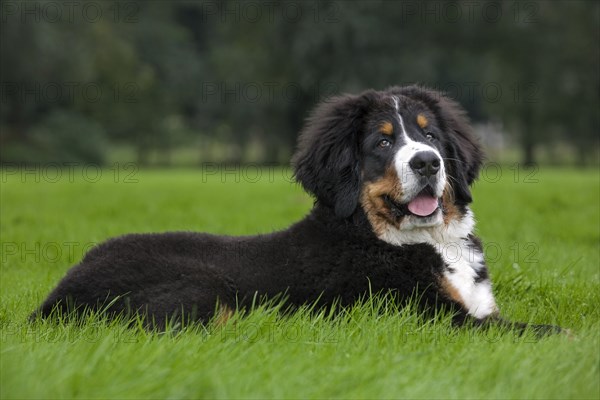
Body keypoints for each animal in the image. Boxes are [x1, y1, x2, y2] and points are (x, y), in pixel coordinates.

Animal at [32, 86, 560, 334]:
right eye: (382, 142)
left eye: (429, 134)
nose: (428, 162)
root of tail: (53, 300)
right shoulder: (430, 317)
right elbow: (535, 331)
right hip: (205, 289)